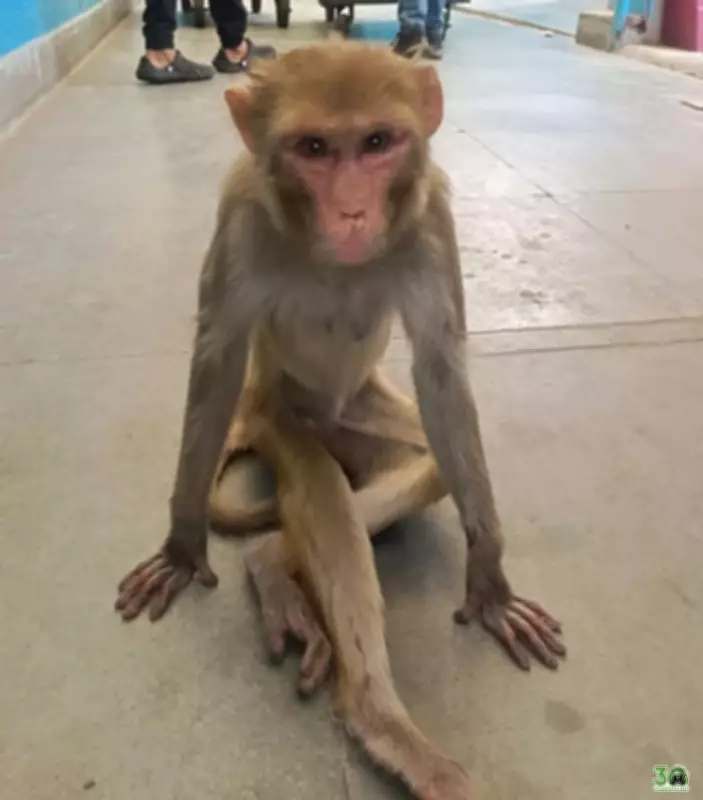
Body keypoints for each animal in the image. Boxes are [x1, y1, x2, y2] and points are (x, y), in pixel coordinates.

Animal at [115, 41, 566, 799]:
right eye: (315, 148)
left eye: (377, 143)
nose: (352, 210)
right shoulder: (241, 215)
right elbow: (216, 360)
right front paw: (182, 542)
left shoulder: (430, 219)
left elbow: (442, 376)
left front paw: (489, 576)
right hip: (279, 416)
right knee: (322, 493)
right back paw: (377, 719)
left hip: (359, 412)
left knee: (429, 463)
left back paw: (276, 559)